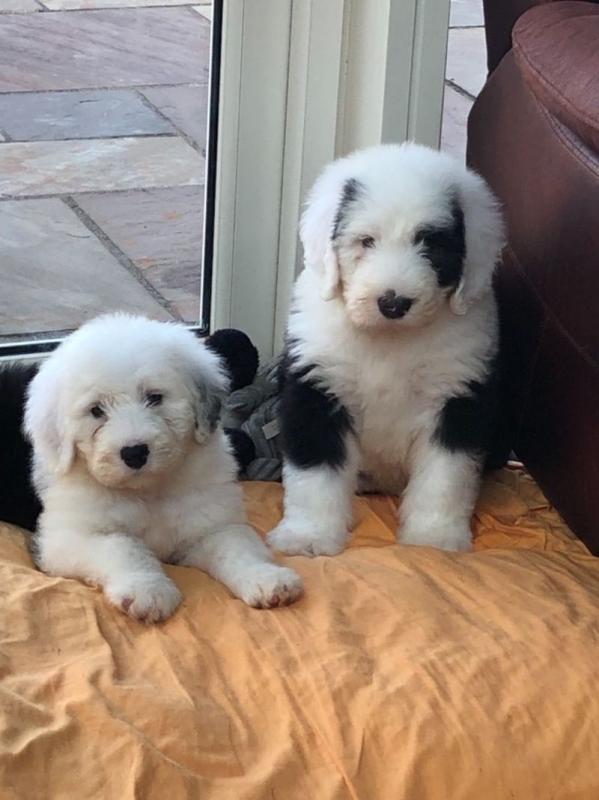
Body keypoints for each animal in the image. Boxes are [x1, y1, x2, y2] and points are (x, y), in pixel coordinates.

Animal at [25, 310, 302, 620]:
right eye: (96, 410)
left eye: (154, 397)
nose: (134, 452)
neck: (149, 492)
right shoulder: (67, 538)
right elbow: (122, 546)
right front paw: (147, 590)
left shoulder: (211, 525)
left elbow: (239, 548)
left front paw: (267, 579)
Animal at [270, 142, 508, 556]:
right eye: (366, 241)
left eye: (430, 243)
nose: (393, 303)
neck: (390, 339)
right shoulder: (318, 386)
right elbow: (315, 473)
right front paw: (309, 536)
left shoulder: (457, 396)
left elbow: (446, 477)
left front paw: (434, 537)